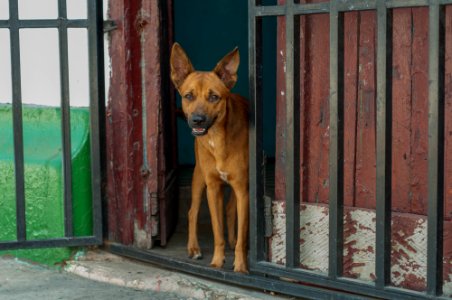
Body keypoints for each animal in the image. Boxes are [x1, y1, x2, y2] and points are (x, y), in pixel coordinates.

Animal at [170, 43, 249, 274]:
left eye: (214, 97)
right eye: (188, 96)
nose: (197, 120)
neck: (217, 139)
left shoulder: (242, 189)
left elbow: (241, 231)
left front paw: (240, 266)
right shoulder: (213, 188)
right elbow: (216, 231)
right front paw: (217, 261)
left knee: (231, 210)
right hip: (198, 178)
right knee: (192, 212)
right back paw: (194, 248)